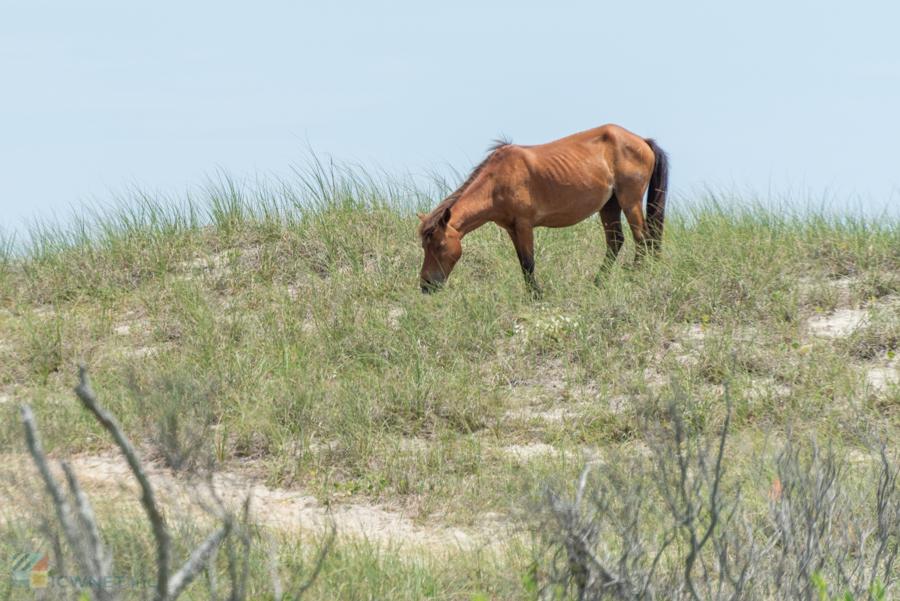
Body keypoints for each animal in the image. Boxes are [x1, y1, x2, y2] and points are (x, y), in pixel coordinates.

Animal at [416, 125, 668, 294]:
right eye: (424, 247)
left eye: (439, 245)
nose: (426, 285)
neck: (497, 181)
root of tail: (643, 141)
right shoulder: (511, 229)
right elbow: (522, 263)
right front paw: (531, 294)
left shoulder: (525, 224)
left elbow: (529, 262)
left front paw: (536, 296)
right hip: (609, 206)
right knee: (616, 241)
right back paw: (597, 283)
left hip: (630, 201)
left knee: (642, 238)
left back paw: (636, 275)